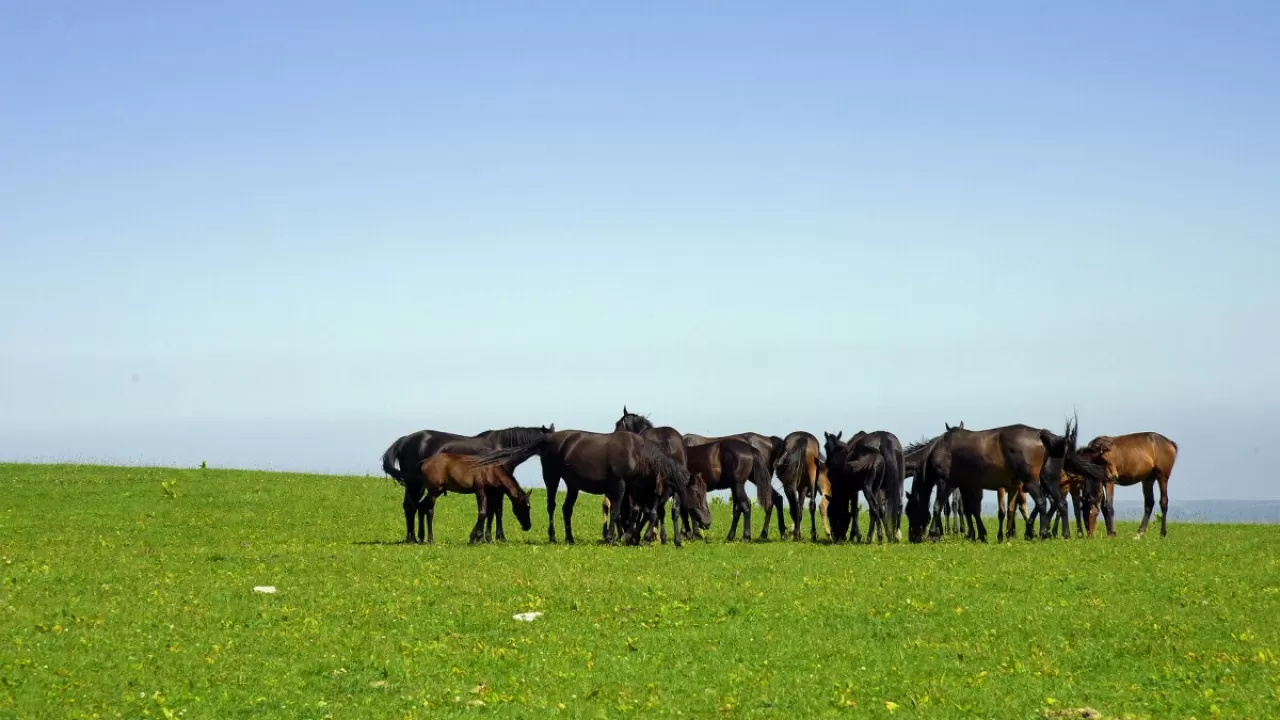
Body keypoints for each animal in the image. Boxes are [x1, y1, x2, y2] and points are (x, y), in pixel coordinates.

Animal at [378, 420, 550, 543]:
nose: (527, 526)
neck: (502, 448)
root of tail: (403, 440)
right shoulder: (497, 489)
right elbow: (497, 511)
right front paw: (496, 537)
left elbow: (491, 511)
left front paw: (485, 537)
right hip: (417, 485)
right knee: (413, 507)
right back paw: (414, 538)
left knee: (411, 506)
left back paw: (412, 538)